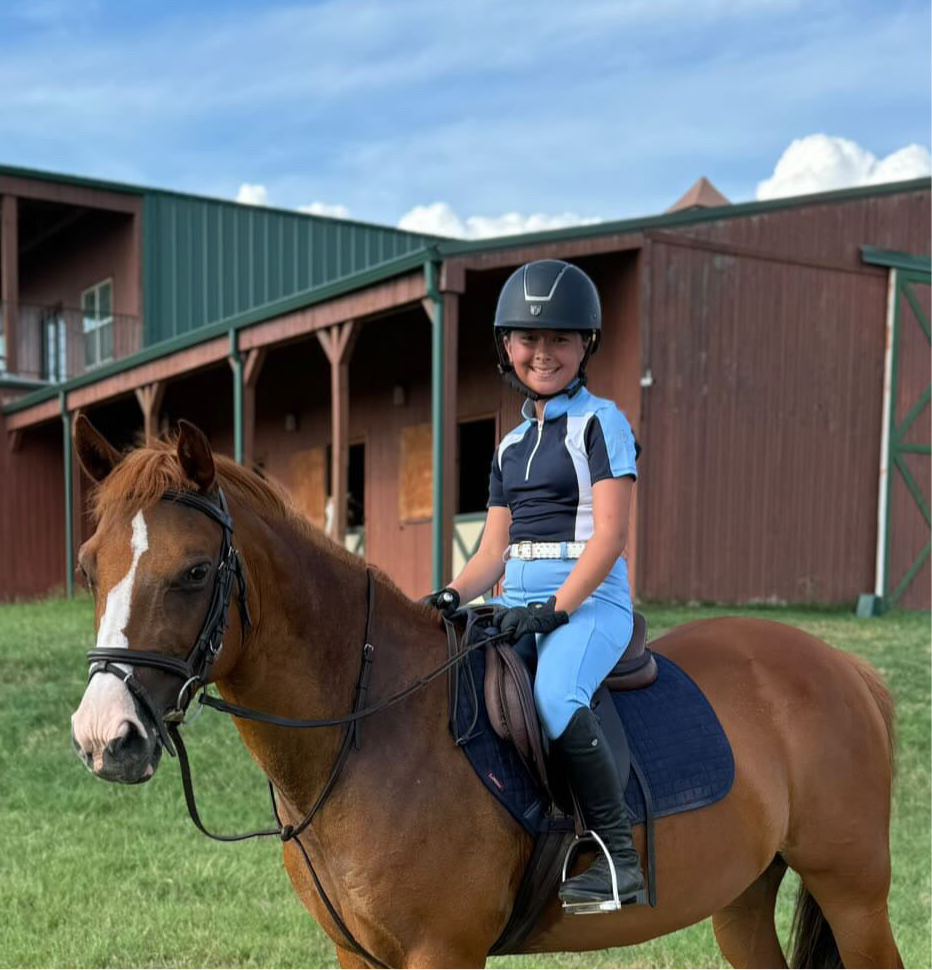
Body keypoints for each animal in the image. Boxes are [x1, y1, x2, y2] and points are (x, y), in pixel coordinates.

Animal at [71, 418, 904, 968]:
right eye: (87, 566)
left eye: (194, 572)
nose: (105, 737)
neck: (369, 732)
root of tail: (844, 667)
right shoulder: (357, 954)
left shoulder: (443, 951)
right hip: (742, 896)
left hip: (854, 895)